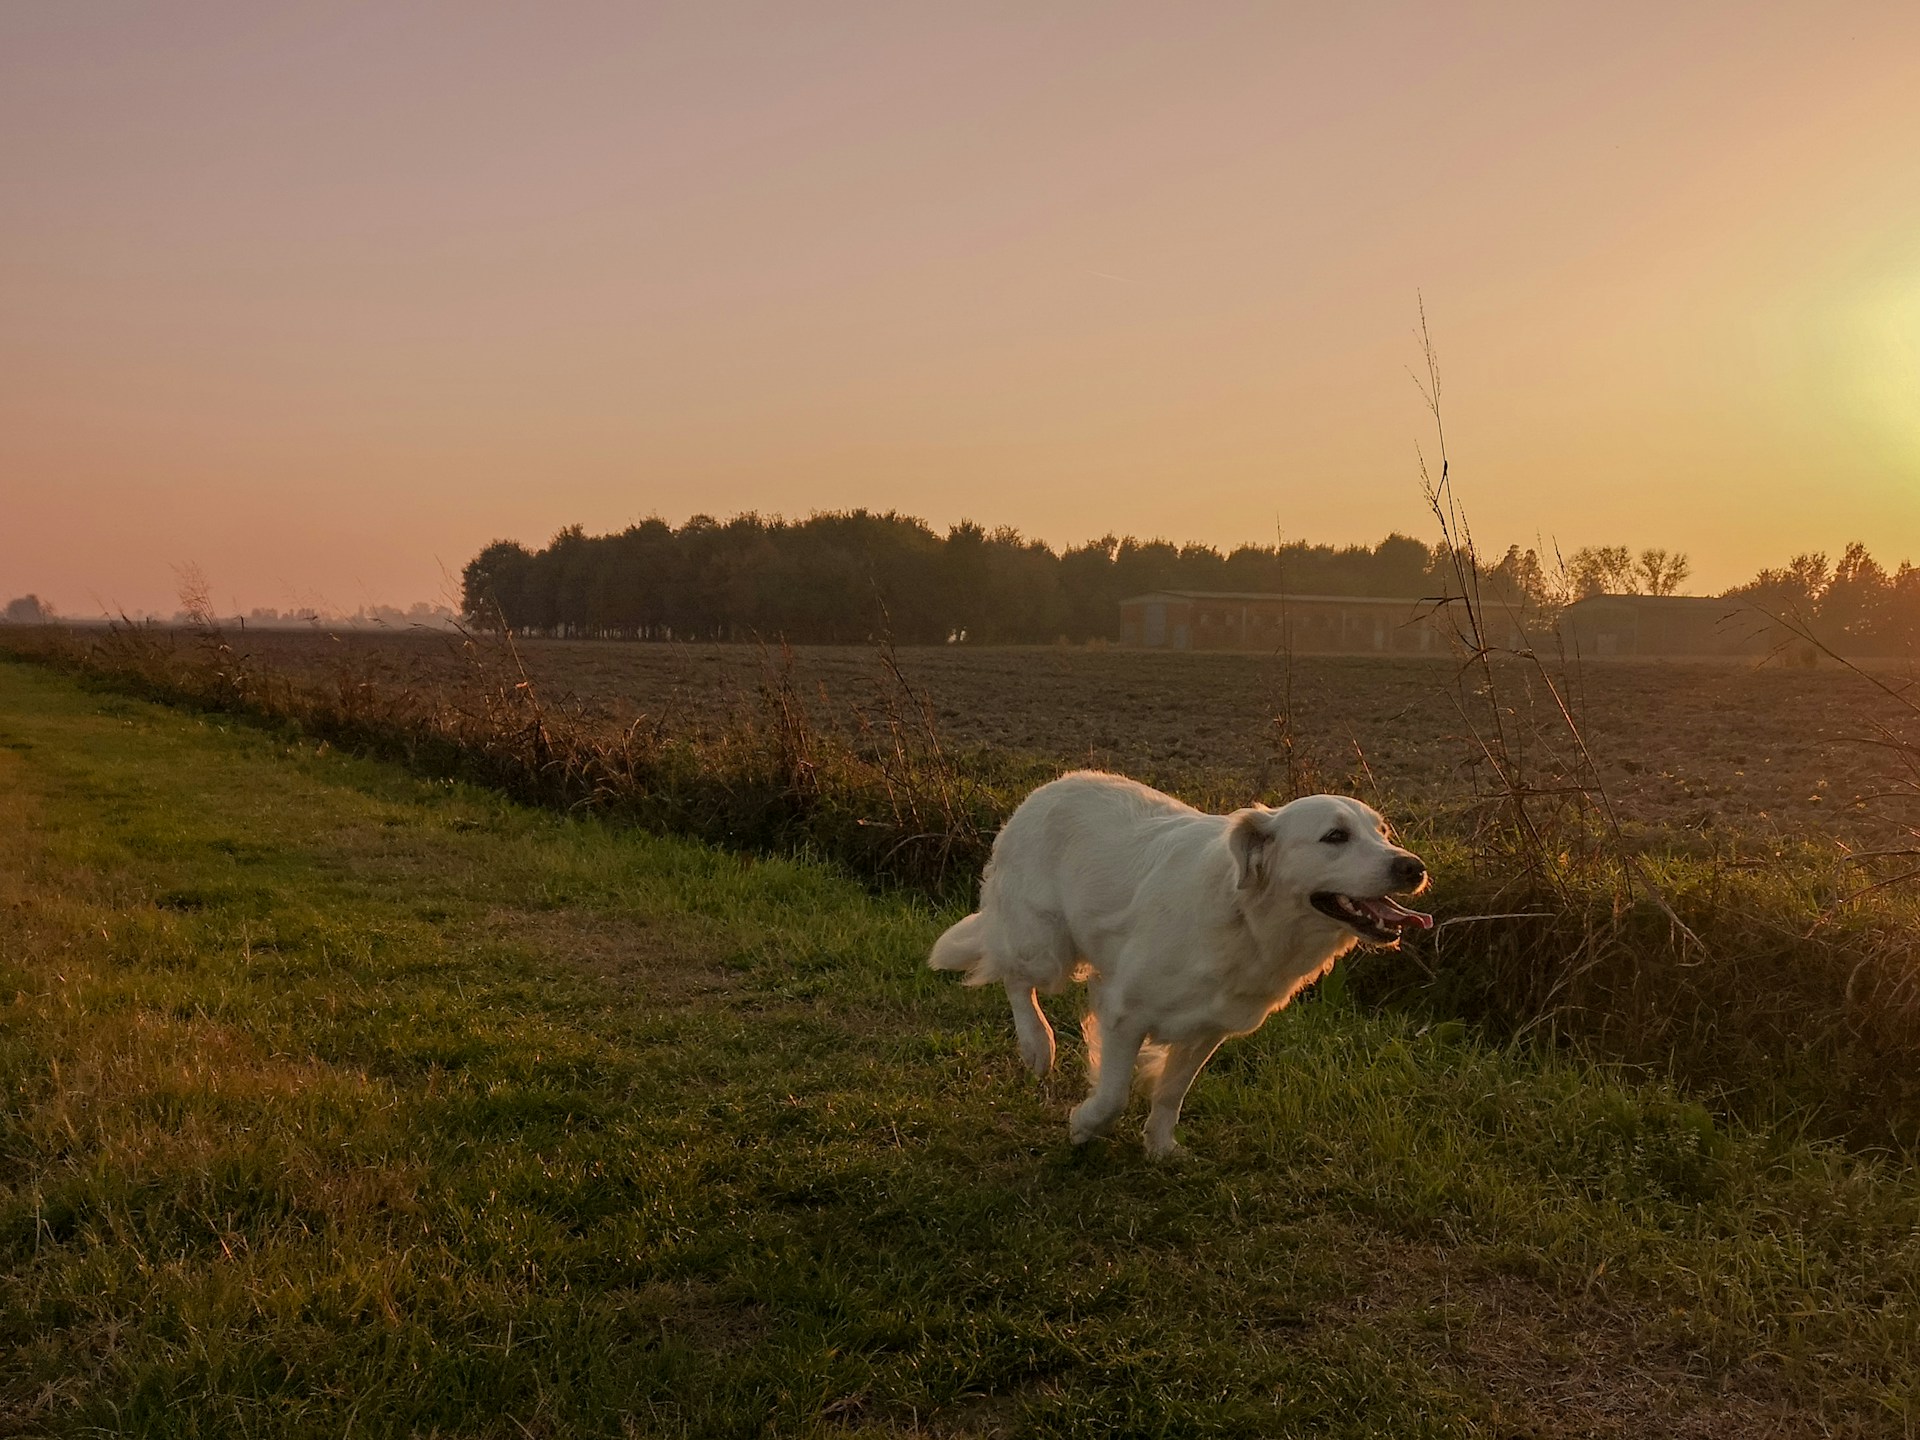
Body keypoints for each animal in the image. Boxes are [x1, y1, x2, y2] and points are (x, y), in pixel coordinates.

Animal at [929, 771, 1428, 1159]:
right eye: (1335, 837)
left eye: (1382, 832)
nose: (1415, 868)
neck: (1246, 920)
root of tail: (1048, 788)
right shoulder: (1125, 1013)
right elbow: (1113, 1095)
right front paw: (1085, 1124)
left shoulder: (1207, 1029)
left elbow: (1172, 1093)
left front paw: (1160, 1147)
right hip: (1045, 945)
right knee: (1013, 975)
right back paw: (1037, 1044)